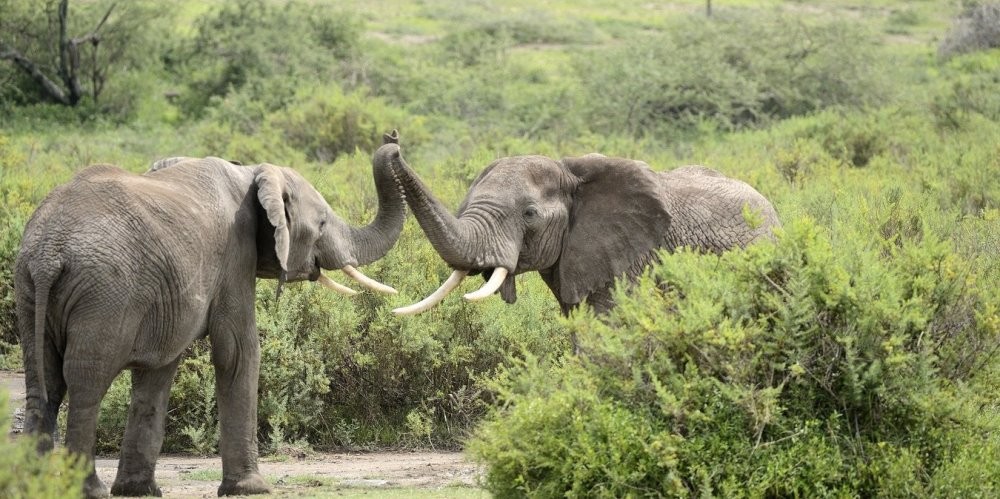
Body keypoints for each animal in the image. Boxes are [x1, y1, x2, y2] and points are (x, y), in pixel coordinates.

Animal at [14, 131, 410, 498]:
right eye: (323, 223)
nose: (392, 138)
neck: (251, 173)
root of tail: (49, 251)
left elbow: (158, 373)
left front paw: (139, 490)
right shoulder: (235, 254)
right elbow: (238, 351)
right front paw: (251, 488)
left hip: (30, 289)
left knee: (43, 383)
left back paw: (32, 485)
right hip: (104, 293)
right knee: (86, 384)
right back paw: (89, 489)